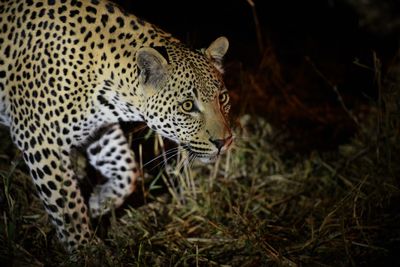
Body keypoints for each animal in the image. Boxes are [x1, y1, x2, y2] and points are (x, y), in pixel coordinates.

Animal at [0, 0, 234, 251]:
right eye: (188, 106)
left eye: (222, 98)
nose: (225, 141)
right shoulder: (40, 140)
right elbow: (68, 207)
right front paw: (86, 250)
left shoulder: (98, 129)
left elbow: (126, 168)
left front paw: (98, 202)